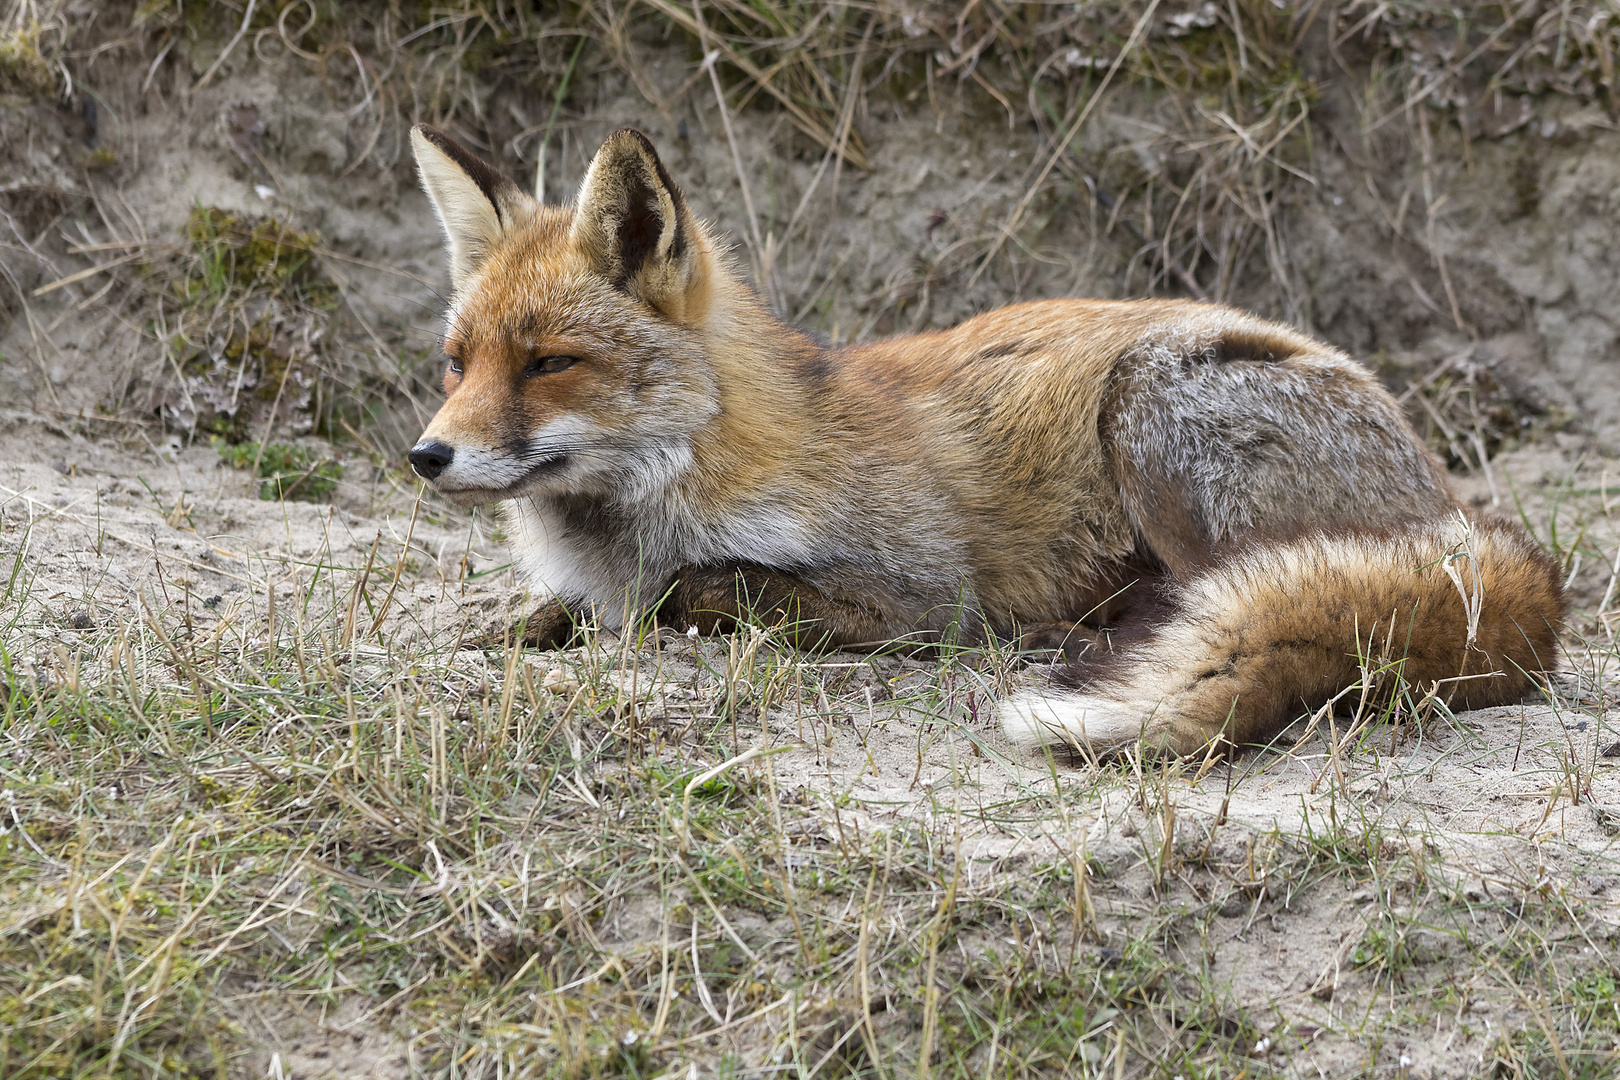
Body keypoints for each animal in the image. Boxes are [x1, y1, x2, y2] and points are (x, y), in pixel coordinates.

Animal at [408, 122, 1568, 757]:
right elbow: (557, 614)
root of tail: (1461, 519)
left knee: (1242, 589)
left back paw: (1088, 637)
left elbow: (707, 592)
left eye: (549, 362)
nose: (427, 456)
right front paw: (511, 628)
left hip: (1151, 404)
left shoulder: (916, 596)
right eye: (459, 363)